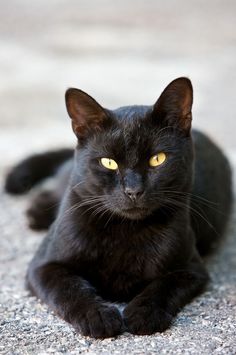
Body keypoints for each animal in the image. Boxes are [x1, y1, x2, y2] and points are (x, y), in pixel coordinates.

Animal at [5, 78, 232, 340]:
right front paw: (98, 316)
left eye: (158, 159)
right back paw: (38, 211)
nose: (133, 190)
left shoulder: (191, 269)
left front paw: (144, 313)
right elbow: (71, 289)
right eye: (109, 162)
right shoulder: (44, 266)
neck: (124, 230)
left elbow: (164, 286)